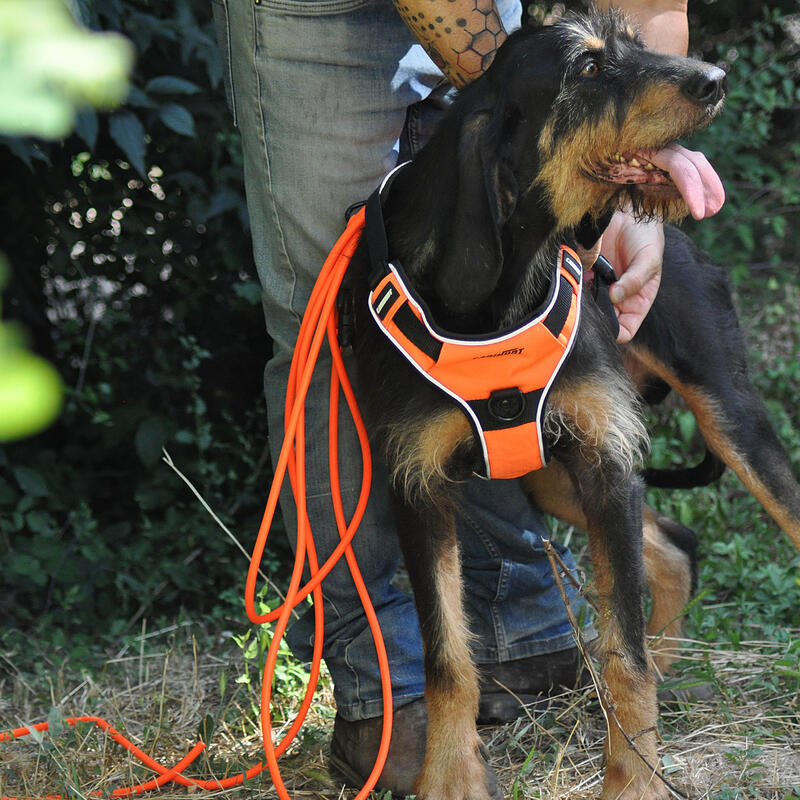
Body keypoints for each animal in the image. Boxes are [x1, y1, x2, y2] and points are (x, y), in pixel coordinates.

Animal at [344, 7, 800, 800]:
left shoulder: (605, 458)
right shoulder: (417, 482)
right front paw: (450, 778)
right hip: (548, 475)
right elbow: (447, 660)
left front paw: (637, 780)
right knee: (673, 549)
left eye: (636, 45)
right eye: (586, 68)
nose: (715, 80)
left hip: (724, 418)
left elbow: (625, 654)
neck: (504, 284)